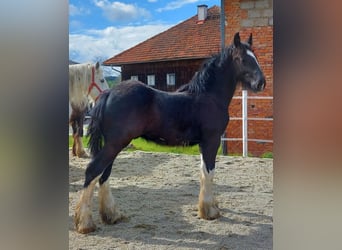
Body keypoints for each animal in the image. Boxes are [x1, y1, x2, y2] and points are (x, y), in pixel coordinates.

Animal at [75, 32, 268, 233]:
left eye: (255, 57)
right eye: (242, 59)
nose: (261, 83)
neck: (209, 96)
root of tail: (108, 94)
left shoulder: (203, 144)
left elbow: (203, 173)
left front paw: (207, 208)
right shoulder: (211, 141)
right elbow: (209, 173)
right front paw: (210, 212)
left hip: (114, 144)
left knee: (104, 174)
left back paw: (112, 215)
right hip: (115, 143)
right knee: (93, 171)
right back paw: (85, 223)